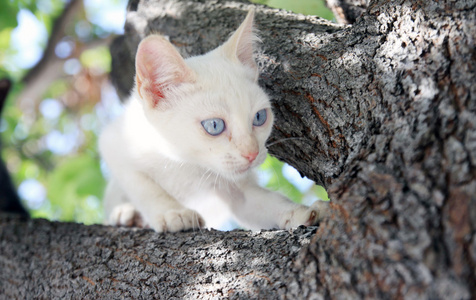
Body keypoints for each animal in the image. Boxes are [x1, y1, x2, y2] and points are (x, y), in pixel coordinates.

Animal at [98, 9, 330, 232]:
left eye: (259, 117)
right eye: (214, 125)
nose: (252, 154)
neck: (187, 163)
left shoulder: (238, 192)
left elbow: (265, 202)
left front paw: (301, 212)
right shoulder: (115, 142)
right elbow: (143, 184)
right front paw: (173, 212)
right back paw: (127, 214)